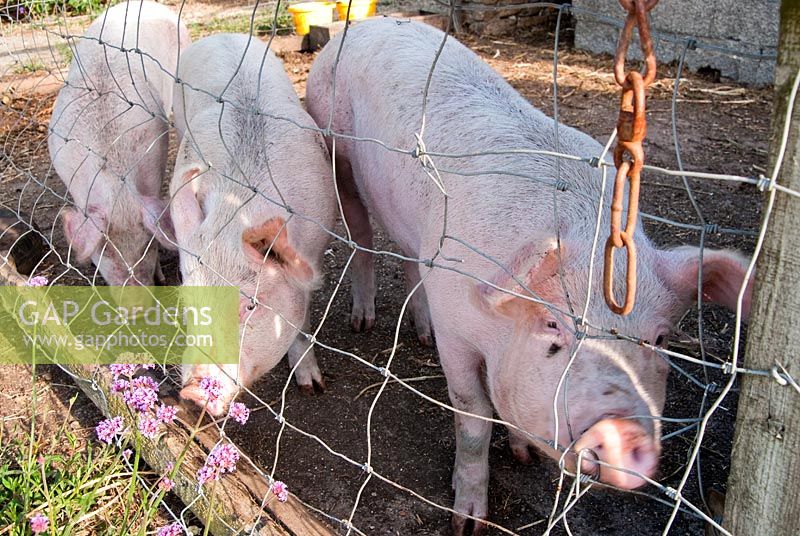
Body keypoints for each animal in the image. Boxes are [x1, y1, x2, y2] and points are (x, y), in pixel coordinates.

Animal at [172, 34, 338, 414]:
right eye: (188, 303)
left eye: (250, 306)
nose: (191, 394)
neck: (237, 209)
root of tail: (219, 35)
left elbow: (302, 317)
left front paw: (312, 387)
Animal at [304, 18, 752, 532]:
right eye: (553, 325)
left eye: (659, 339)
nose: (623, 431)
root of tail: (362, 24)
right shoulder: (457, 331)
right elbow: (474, 415)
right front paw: (468, 522)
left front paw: (523, 456)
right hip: (335, 146)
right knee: (359, 235)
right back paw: (363, 321)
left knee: (409, 257)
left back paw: (419, 333)